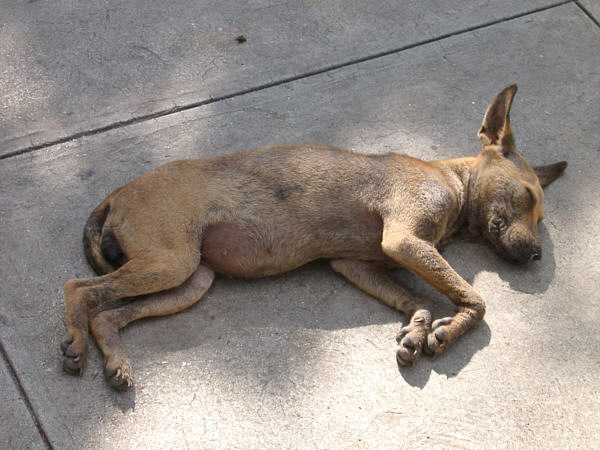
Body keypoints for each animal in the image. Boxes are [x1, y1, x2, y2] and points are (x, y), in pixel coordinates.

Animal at [61, 85, 568, 390]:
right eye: (527, 196)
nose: (537, 254)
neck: (454, 184)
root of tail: (116, 194)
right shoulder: (404, 240)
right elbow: (477, 300)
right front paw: (448, 330)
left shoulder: (359, 263)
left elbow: (418, 298)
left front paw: (418, 330)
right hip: (171, 263)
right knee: (79, 289)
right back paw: (77, 342)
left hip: (191, 280)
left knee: (108, 314)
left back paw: (115, 359)